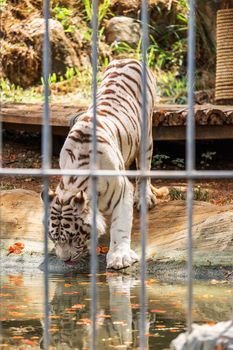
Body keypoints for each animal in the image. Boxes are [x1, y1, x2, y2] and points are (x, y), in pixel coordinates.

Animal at [43, 58, 157, 270]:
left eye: (73, 238)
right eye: (53, 238)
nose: (65, 260)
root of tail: (128, 58)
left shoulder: (123, 191)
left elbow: (120, 226)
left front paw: (119, 257)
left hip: (146, 138)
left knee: (144, 169)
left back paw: (145, 198)